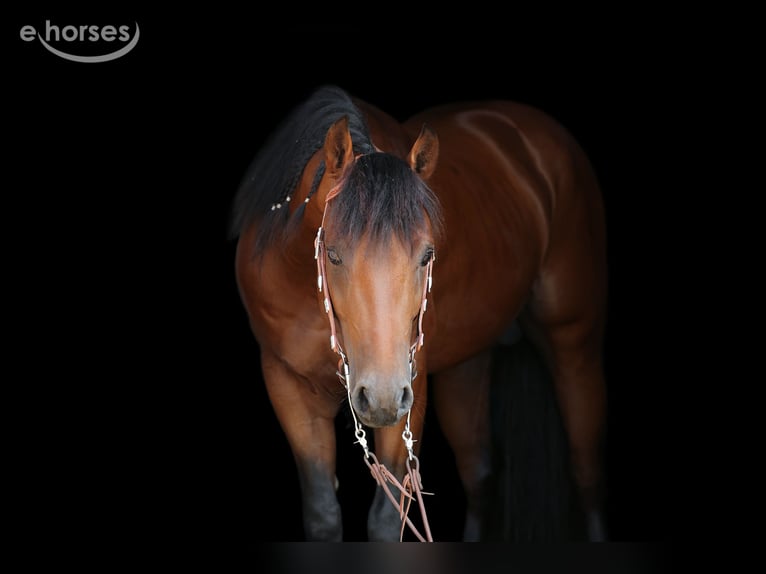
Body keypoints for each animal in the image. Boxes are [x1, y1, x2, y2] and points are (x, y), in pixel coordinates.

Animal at [228, 85, 608, 542]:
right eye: (332, 254)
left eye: (427, 255)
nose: (380, 395)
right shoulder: (287, 385)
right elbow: (322, 513)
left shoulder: (409, 389)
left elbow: (387, 518)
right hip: (467, 361)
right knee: (479, 472)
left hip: (573, 340)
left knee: (585, 471)